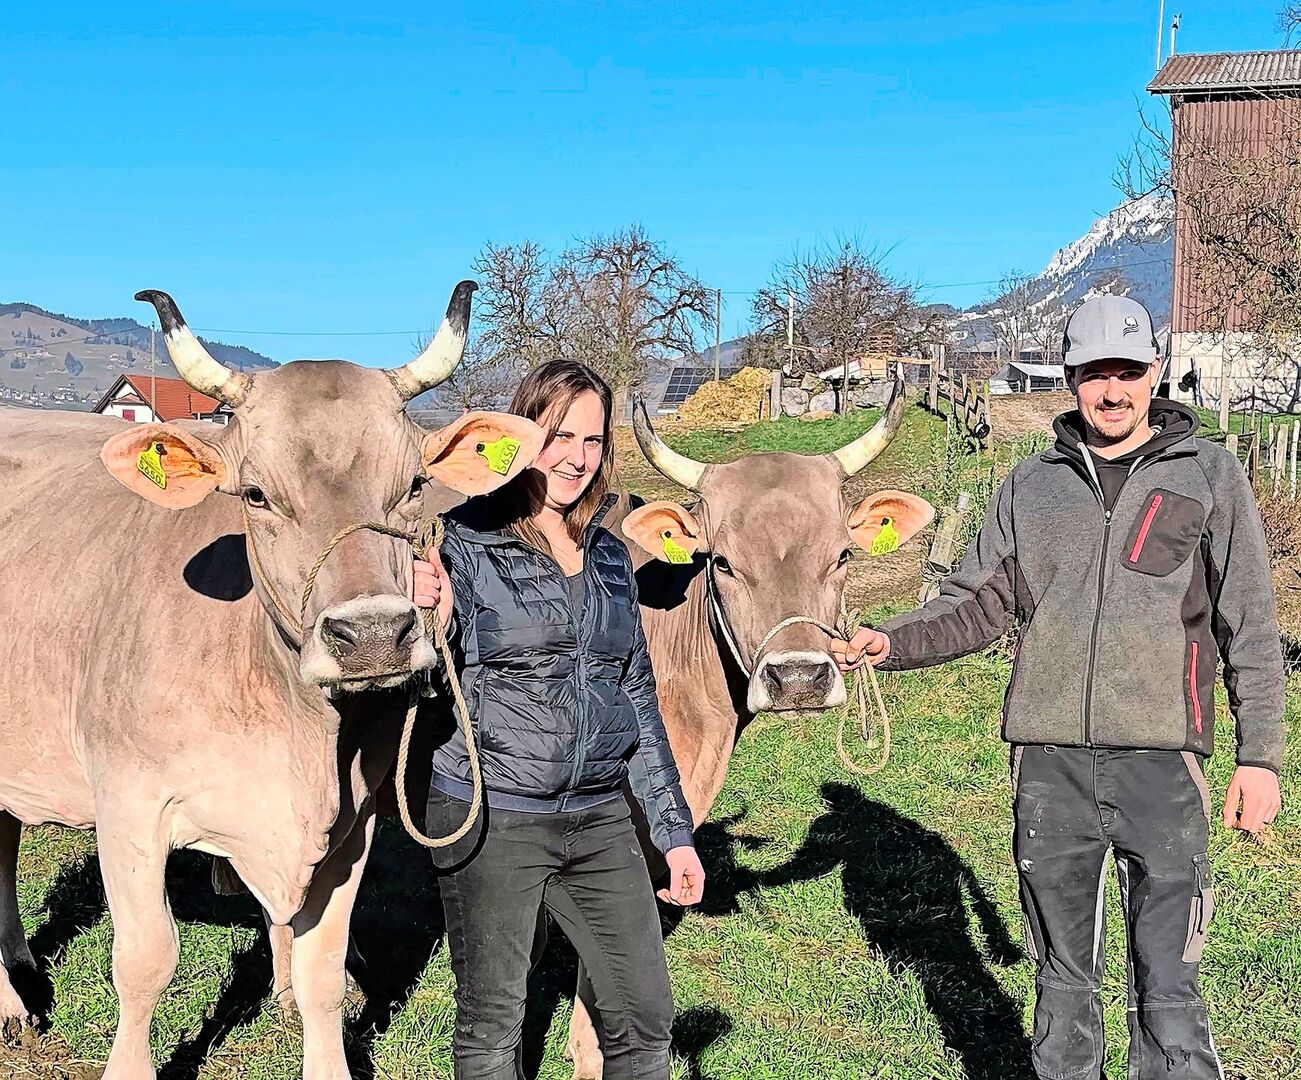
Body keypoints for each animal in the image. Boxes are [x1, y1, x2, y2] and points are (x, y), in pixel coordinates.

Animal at [0, 282, 545, 1080]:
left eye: (414, 485)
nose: (373, 635)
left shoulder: (353, 822)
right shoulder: (130, 806)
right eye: (255, 494)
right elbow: (145, 961)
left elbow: (322, 970)